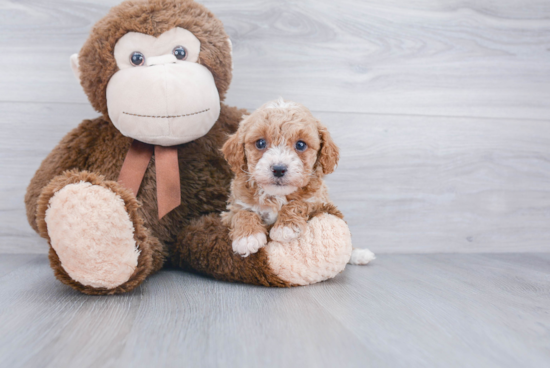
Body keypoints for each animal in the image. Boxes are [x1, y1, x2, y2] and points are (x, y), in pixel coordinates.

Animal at [222, 98, 378, 264]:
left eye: (300, 144)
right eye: (260, 143)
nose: (278, 169)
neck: (277, 196)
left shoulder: (319, 202)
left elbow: (299, 203)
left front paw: (285, 228)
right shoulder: (231, 210)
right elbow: (242, 213)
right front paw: (247, 237)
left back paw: (359, 254)